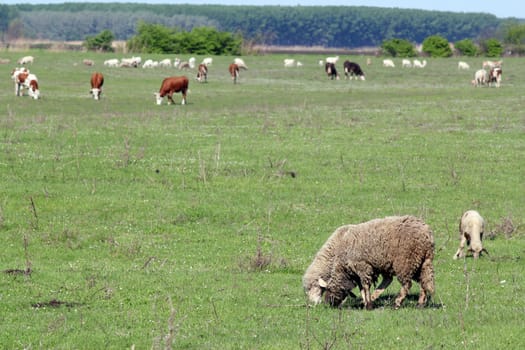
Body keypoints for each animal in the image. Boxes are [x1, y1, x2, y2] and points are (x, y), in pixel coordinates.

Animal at [302, 216, 434, 308]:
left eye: (314, 287)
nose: (316, 304)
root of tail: (426, 234)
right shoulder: (357, 270)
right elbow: (361, 287)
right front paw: (366, 301)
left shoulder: (362, 266)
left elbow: (365, 286)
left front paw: (368, 304)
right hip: (419, 263)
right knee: (423, 281)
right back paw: (420, 303)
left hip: (405, 262)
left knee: (407, 284)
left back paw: (397, 302)